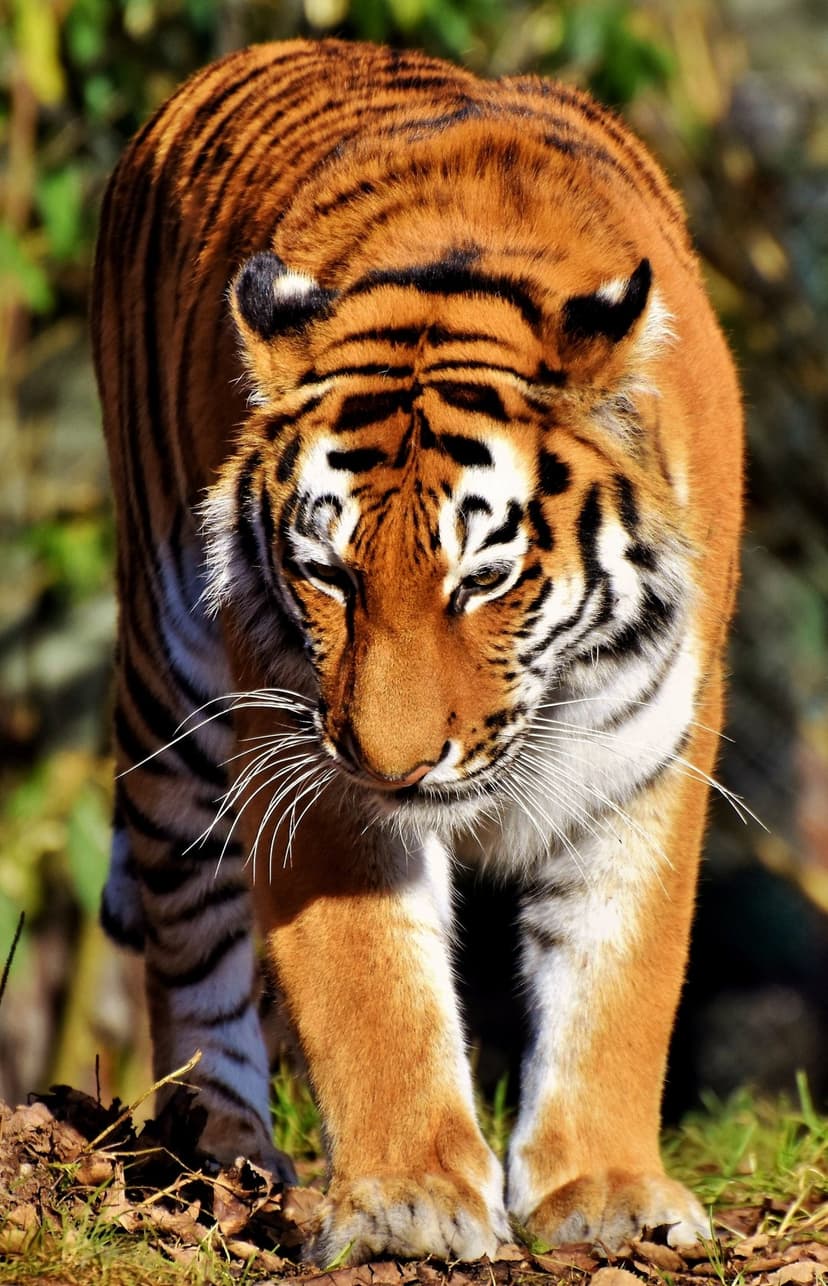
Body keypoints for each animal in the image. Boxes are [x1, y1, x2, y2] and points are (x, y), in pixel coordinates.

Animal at [92, 37, 743, 1265]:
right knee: (189, 932)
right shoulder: (304, 744)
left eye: (483, 577)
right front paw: (412, 1203)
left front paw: (606, 1190)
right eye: (328, 572)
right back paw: (219, 1144)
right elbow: (371, 986)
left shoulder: (648, 750)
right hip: (173, 691)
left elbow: (619, 972)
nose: (394, 764)